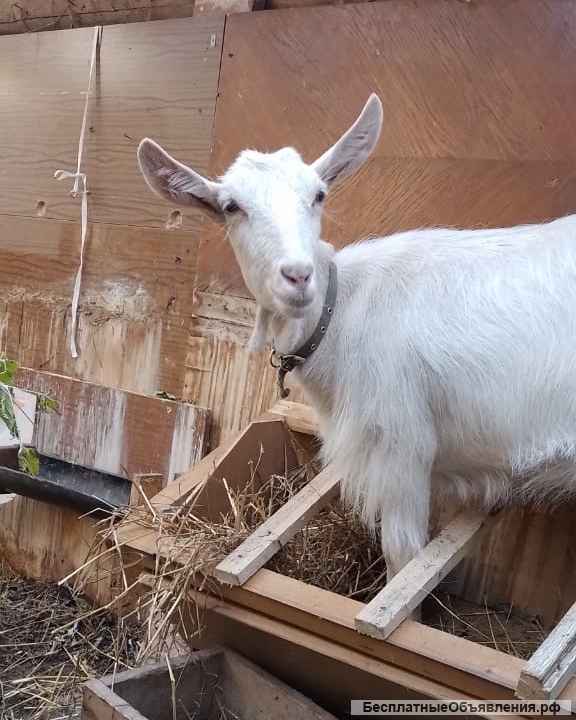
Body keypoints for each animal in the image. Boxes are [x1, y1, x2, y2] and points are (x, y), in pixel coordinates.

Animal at [137, 94, 576, 578]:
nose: (298, 276)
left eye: (318, 195)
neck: (340, 315)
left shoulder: (402, 443)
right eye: (232, 206)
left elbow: (403, 556)